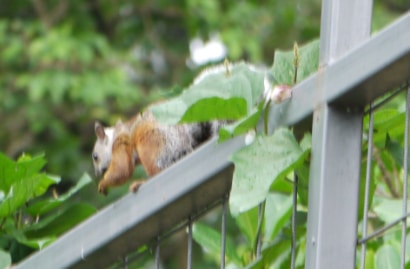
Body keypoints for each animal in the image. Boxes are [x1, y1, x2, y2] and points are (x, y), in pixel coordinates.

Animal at [92, 109, 224, 195]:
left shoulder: (121, 144)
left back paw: (141, 182)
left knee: (159, 169)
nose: (97, 173)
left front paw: (103, 183)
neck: (114, 136)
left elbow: (122, 170)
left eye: (95, 156)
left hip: (151, 143)